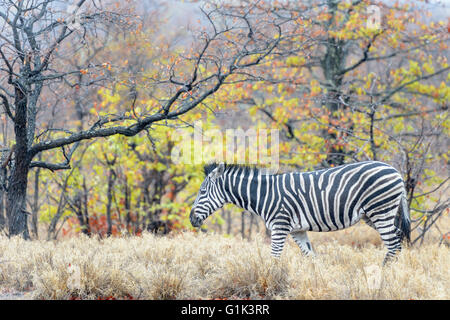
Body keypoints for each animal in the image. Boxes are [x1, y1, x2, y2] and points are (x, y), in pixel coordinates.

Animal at [190, 161, 412, 264]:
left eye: (202, 191)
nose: (191, 219)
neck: (264, 195)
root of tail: (395, 171)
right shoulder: (297, 230)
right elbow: (311, 257)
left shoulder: (280, 226)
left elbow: (274, 257)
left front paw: (270, 280)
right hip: (373, 215)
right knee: (398, 237)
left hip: (380, 210)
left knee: (392, 244)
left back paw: (385, 274)